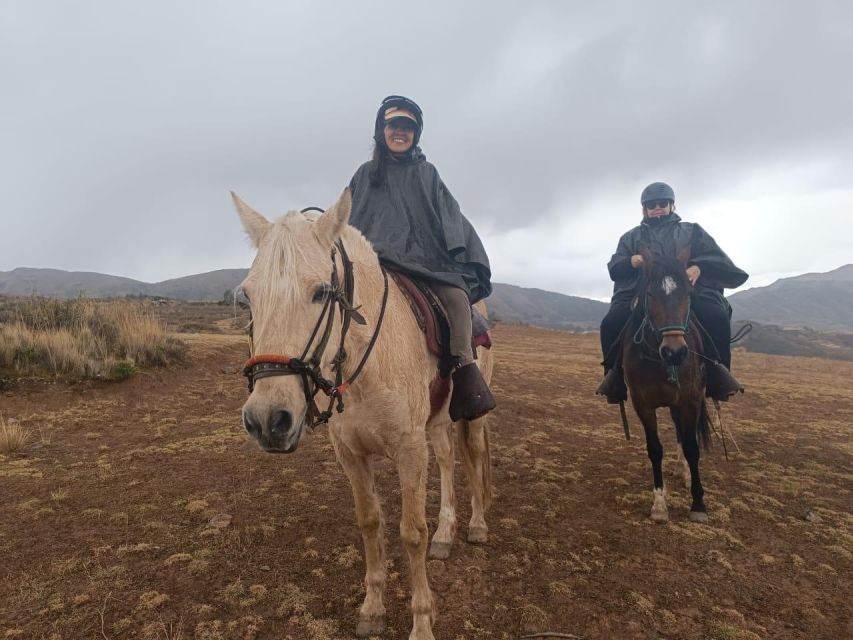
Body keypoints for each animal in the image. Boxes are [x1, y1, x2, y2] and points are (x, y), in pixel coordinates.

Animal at [231, 189, 492, 640]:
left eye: (321, 292)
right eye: (248, 296)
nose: (267, 419)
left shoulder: (409, 450)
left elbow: (411, 533)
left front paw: (421, 622)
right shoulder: (351, 454)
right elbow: (371, 524)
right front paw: (372, 609)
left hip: (470, 416)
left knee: (472, 456)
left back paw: (476, 525)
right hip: (438, 422)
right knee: (446, 460)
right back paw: (446, 533)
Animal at [620, 248, 712, 524]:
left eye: (688, 293)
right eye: (650, 294)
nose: (675, 352)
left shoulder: (690, 400)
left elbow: (692, 447)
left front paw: (698, 504)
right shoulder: (643, 405)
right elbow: (655, 449)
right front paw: (659, 504)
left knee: (687, 435)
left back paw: (687, 474)